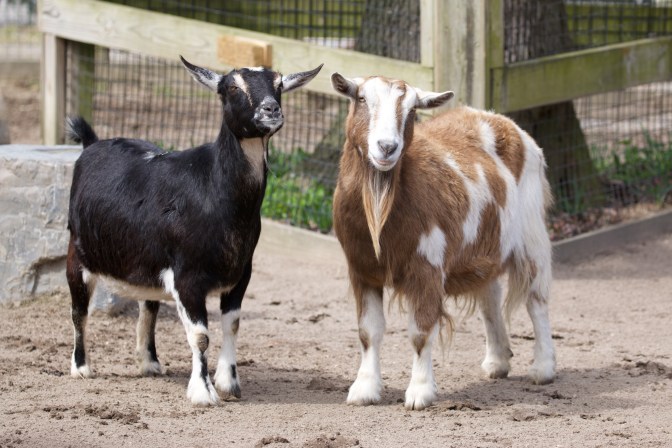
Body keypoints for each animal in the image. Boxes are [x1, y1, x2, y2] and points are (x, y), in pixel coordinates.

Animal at [65, 56, 322, 406]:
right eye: (232, 88)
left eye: (279, 84)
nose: (271, 109)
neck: (217, 192)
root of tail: (92, 143)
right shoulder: (188, 277)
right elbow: (200, 337)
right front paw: (203, 391)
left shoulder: (241, 273)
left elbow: (232, 325)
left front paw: (228, 383)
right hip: (77, 254)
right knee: (79, 311)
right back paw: (81, 367)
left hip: (148, 262)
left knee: (148, 307)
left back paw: (149, 363)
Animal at [330, 74, 556, 410]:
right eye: (361, 99)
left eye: (412, 111)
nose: (387, 147)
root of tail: (500, 119)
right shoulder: (362, 270)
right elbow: (368, 331)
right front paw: (364, 389)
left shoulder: (427, 267)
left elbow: (421, 331)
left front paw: (420, 393)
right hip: (485, 244)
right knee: (490, 297)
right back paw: (498, 362)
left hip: (531, 232)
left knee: (536, 297)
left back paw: (543, 369)